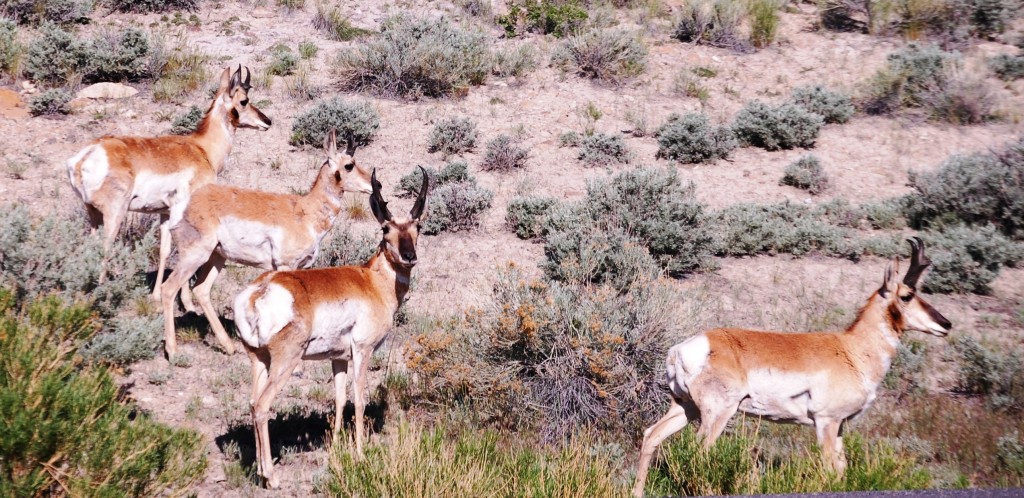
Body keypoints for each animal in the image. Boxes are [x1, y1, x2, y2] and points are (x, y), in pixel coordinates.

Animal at [63, 65, 272, 303]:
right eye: (244, 100)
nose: (267, 121)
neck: (201, 148)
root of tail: (87, 154)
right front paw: (187, 302)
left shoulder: (164, 213)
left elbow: (164, 250)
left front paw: (155, 296)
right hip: (114, 215)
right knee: (105, 247)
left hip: (93, 214)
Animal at [163, 130, 376, 356]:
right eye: (349, 165)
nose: (375, 185)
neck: (305, 210)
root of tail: (183, 205)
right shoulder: (285, 266)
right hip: (195, 255)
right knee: (169, 289)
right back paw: (172, 350)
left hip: (217, 257)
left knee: (201, 290)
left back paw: (229, 347)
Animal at [231, 169, 423, 487]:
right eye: (385, 228)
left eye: (418, 225)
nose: (409, 255)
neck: (372, 281)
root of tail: (259, 290)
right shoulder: (362, 351)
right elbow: (358, 400)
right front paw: (360, 455)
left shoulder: (338, 359)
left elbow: (340, 399)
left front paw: (335, 449)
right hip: (285, 361)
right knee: (261, 406)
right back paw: (272, 477)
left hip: (259, 359)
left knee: (251, 402)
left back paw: (260, 470)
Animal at [630, 238, 950, 498]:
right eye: (906, 295)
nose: (945, 324)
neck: (851, 350)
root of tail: (685, 348)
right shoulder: (825, 422)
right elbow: (831, 470)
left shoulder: (841, 426)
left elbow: (842, 470)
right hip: (716, 413)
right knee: (698, 451)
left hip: (685, 407)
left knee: (652, 435)